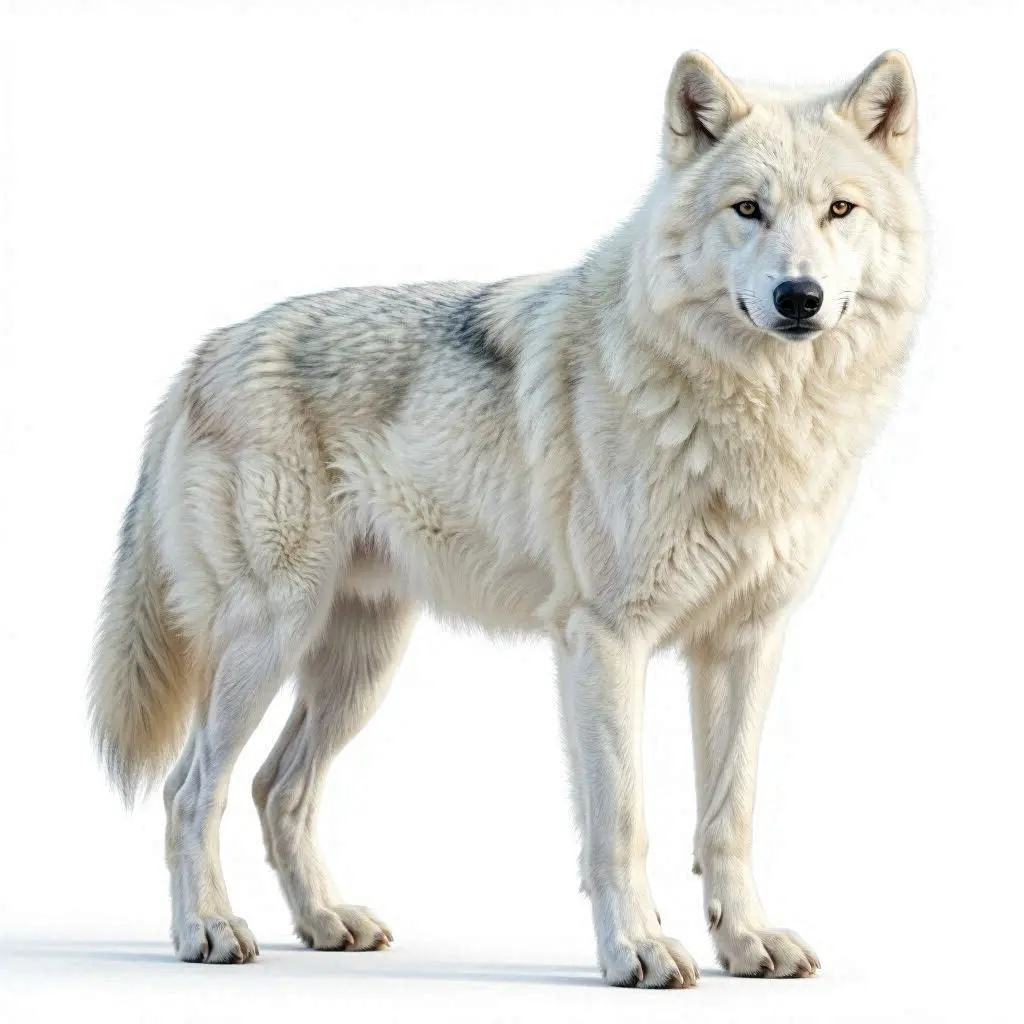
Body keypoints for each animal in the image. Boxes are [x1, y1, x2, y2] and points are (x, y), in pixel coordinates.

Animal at [88, 50, 925, 986]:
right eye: (748, 209)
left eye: (839, 210)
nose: (798, 296)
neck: (756, 412)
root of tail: (208, 348)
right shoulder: (604, 638)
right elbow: (622, 820)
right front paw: (637, 950)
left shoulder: (747, 642)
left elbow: (729, 814)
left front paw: (746, 941)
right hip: (269, 639)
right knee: (191, 787)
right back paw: (206, 929)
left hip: (359, 666)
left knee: (279, 788)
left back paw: (327, 923)